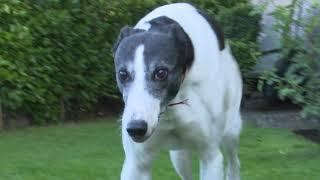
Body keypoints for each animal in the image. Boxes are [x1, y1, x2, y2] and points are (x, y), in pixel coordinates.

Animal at [112, 2, 242, 180]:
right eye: (123, 74)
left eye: (161, 73)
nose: (136, 129)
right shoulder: (136, 163)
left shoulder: (210, 156)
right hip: (179, 156)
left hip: (231, 129)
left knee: (234, 161)